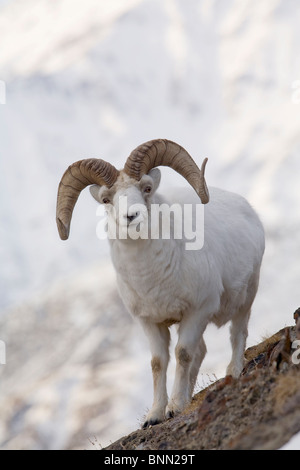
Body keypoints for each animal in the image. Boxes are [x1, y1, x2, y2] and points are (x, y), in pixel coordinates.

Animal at [55, 138, 264, 428]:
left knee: (237, 332)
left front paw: (175, 408)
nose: (131, 216)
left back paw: (232, 372)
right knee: (202, 351)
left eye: (147, 188)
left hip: (247, 297)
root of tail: (247, 208)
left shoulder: (198, 311)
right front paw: (155, 415)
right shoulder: (150, 322)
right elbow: (158, 362)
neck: (151, 277)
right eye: (107, 199)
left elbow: (183, 353)